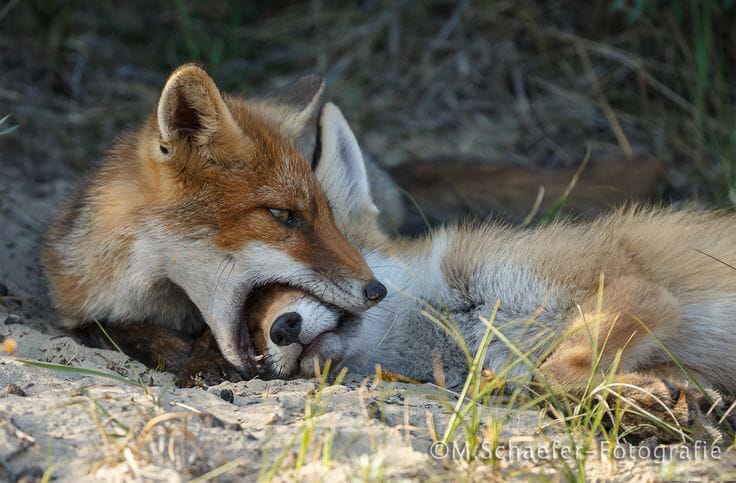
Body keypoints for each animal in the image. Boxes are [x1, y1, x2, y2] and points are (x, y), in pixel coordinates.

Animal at [41, 65, 388, 382]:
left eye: (329, 215)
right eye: (281, 214)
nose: (377, 290)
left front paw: (202, 361)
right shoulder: (75, 304)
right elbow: (108, 328)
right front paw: (169, 349)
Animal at [247, 102, 736, 442]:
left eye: (299, 276)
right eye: (251, 321)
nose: (282, 328)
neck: (465, 321)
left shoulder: (631, 288)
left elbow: (553, 371)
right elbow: (546, 383)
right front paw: (650, 403)